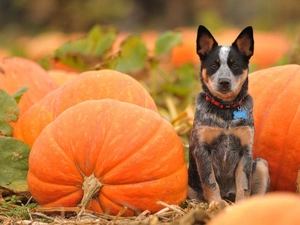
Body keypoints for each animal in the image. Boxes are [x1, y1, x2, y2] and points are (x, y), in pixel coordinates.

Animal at [188, 25, 270, 203]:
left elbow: (243, 185)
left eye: (235, 65)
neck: (225, 108)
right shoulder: (203, 150)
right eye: (214, 65)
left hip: (261, 164)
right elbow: (210, 182)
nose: (224, 81)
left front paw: (241, 205)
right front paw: (216, 204)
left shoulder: (245, 151)